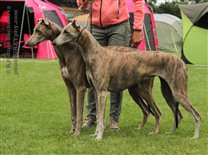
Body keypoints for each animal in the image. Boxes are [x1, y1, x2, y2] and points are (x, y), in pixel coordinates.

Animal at [25, 18, 182, 137]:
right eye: (33, 29)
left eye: (38, 31)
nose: (27, 43)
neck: (69, 52)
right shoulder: (70, 88)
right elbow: (73, 113)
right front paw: (72, 131)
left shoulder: (80, 88)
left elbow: (79, 113)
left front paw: (77, 133)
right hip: (134, 91)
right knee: (146, 110)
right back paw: (141, 129)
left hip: (144, 90)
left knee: (155, 111)